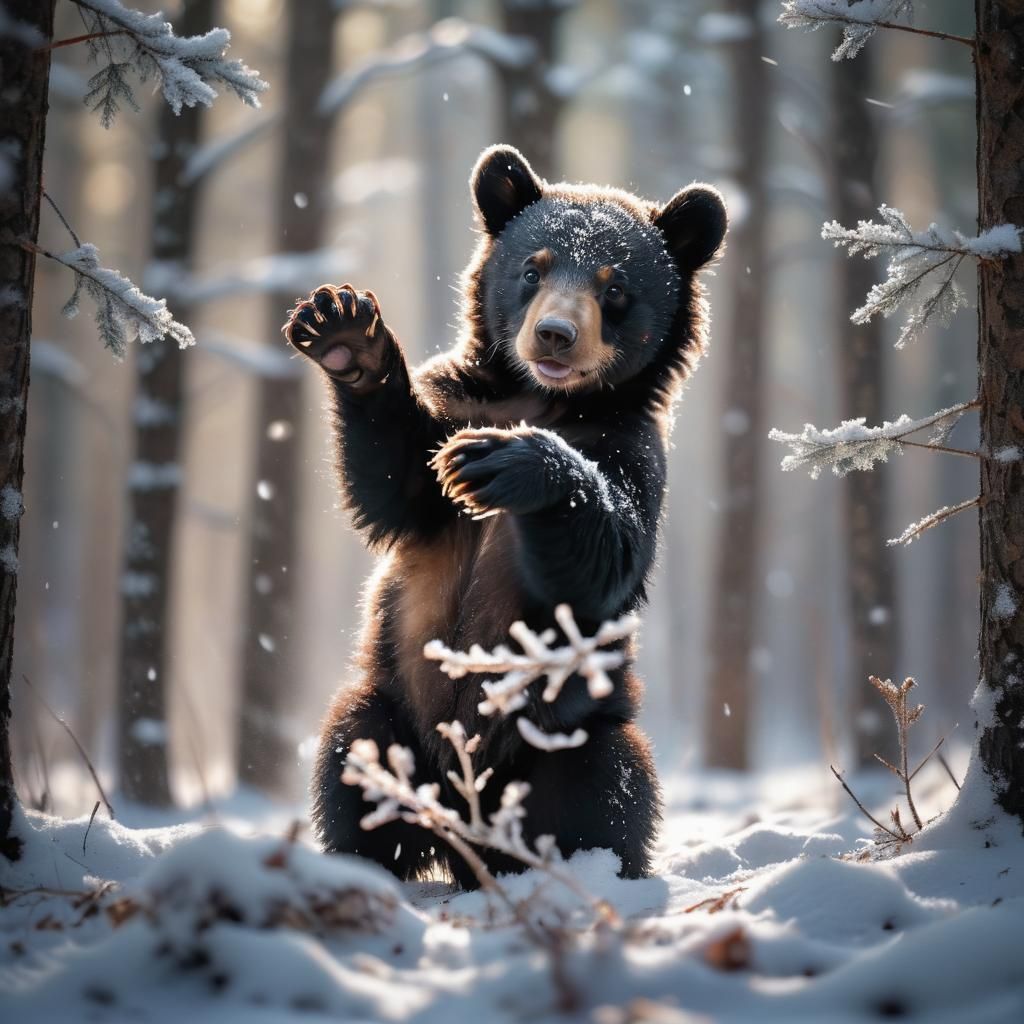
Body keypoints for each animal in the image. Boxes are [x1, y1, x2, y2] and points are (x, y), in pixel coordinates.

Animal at [283, 144, 727, 888]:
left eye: (613, 288)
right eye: (532, 268)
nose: (554, 335)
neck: (540, 398)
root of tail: (467, 820)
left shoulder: (627, 447)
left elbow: (607, 554)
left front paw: (505, 461)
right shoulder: (454, 408)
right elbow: (396, 480)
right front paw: (343, 328)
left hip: (563, 729)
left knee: (604, 788)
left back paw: (575, 866)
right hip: (390, 702)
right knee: (353, 765)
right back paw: (365, 862)